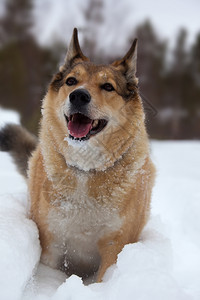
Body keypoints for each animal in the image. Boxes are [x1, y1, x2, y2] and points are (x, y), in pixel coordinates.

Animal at [0, 28, 155, 284]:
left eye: (108, 86)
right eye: (72, 81)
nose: (79, 96)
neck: (85, 169)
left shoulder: (114, 247)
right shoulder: (51, 244)